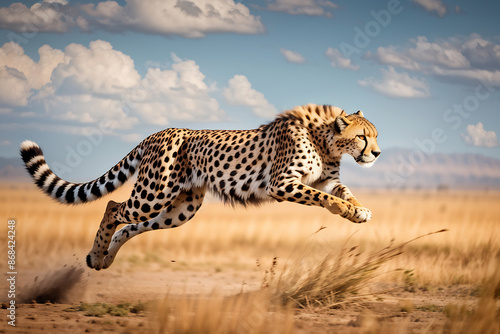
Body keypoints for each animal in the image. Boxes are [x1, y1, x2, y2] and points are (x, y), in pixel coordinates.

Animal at [19, 103, 378, 270]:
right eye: (363, 136)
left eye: (375, 135)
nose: (376, 153)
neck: (325, 140)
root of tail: (159, 132)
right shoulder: (282, 184)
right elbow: (324, 198)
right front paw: (351, 211)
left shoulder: (327, 180)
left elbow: (342, 193)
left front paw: (359, 210)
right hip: (152, 194)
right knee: (113, 208)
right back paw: (96, 255)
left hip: (180, 209)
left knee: (131, 226)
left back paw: (106, 258)